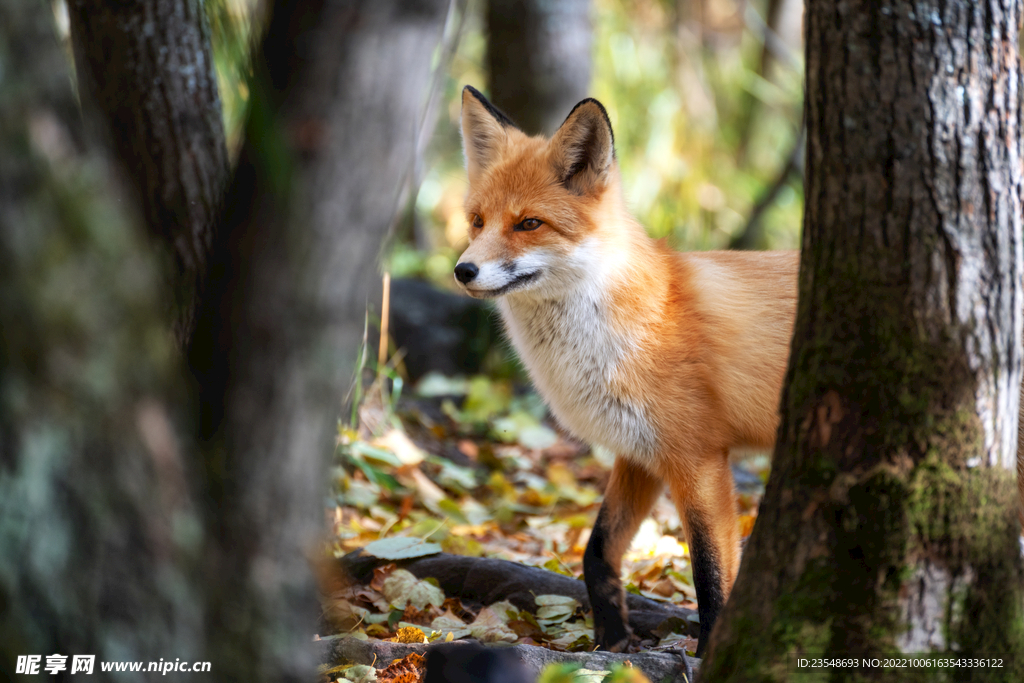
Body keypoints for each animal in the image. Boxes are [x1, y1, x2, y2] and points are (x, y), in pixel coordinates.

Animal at [454, 85, 798, 655]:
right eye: (478, 221)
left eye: (529, 224)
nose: (463, 270)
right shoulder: (638, 454)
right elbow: (597, 553)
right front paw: (612, 642)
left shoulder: (698, 458)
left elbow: (710, 577)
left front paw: (708, 655)